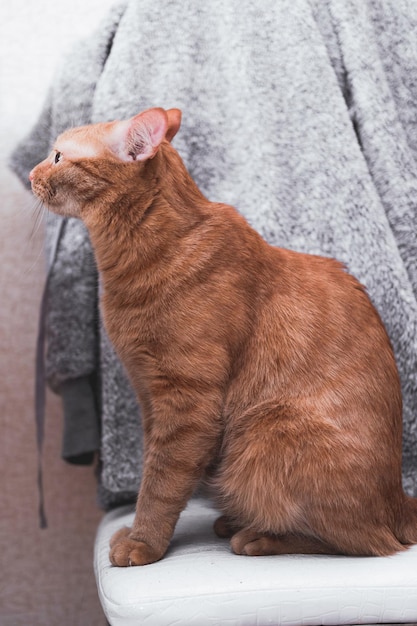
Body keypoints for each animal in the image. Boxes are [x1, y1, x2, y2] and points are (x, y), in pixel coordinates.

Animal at [30, 105, 416, 564]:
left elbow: (161, 482)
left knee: (360, 541)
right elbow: (152, 469)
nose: (32, 174)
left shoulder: (188, 402)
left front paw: (144, 541)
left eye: (57, 156)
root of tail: (398, 500)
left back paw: (259, 536)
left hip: (266, 429)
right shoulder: (149, 396)